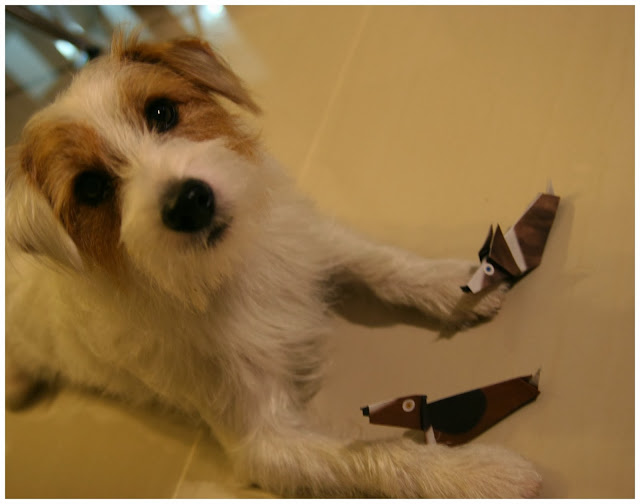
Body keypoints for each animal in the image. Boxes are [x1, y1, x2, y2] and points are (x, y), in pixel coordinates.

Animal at [5, 33, 541, 498]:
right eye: (91, 188)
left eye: (161, 111)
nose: (189, 203)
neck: (227, 270)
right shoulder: (266, 442)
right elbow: (371, 453)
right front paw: (474, 475)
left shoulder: (308, 241)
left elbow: (380, 263)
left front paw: (460, 284)